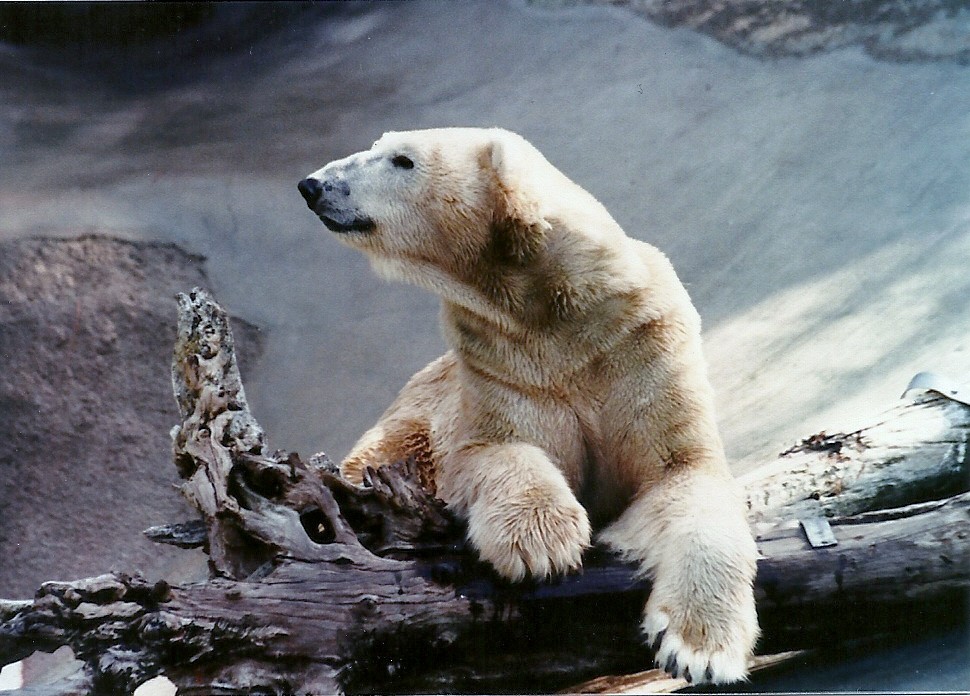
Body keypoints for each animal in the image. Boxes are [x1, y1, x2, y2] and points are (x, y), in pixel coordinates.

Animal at [297, 127, 759, 684]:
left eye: (402, 159)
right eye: (379, 145)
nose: (314, 185)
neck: (555, 310)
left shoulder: (643, 345)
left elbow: (685, 472)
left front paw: (698, 649)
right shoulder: (499, 361)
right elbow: (489, 450)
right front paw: (540, 542)